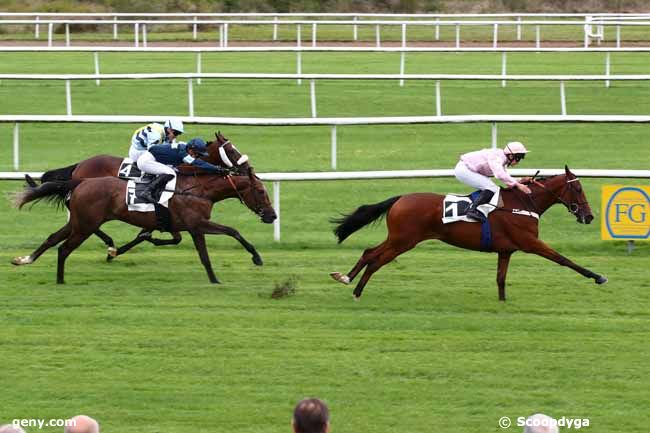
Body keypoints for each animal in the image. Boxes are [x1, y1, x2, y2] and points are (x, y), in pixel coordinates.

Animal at [13, 164, 276, 282]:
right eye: (261, 191)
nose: (272, 216)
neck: (199, 190)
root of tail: (80, 181)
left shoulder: (188, 227)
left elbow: (197, 247)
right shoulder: (197, 225)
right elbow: (229, 234)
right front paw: (254, 259)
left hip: (79, 222)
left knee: (52, 240)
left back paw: (25, 260)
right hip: (85, 225)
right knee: (64, 248)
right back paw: (60, 279)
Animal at [25, 132, 244, 260]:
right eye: (231, 150)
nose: (246, 167)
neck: (183, 170)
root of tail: (80, 164)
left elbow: (152, 234)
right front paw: (114, 252)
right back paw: (109, 241)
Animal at [332, 165, 604, 300]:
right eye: (578, 189)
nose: (589, 216)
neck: (524, 203)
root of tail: (400, 199)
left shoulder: (506, 250)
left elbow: (500, 278)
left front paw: (503, 302)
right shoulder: (531, 242)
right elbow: (564, 259)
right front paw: (598, 276)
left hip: (397, 238)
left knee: (369, 253)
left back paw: (346, 278)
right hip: (404, 240)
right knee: (376, 260)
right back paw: (356, 290)